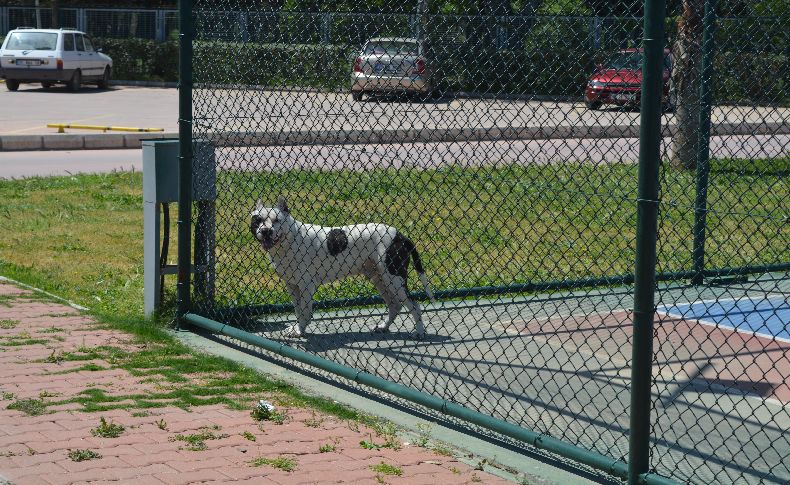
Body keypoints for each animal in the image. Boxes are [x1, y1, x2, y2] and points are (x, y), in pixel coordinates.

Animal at [251, 199, 436, 338]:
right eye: (258, 220)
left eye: (277, 220)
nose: (266, 231)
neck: (290, 240)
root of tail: (400, 235)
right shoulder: (292, 285)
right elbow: (297, 310)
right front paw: (297, 328)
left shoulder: (306, 286)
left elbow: (304, 311)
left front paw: (300, 330)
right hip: (380, 278)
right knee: (395, 305)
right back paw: (383, 326)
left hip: (394, 279)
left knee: (414, 305)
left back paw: (419, 332)